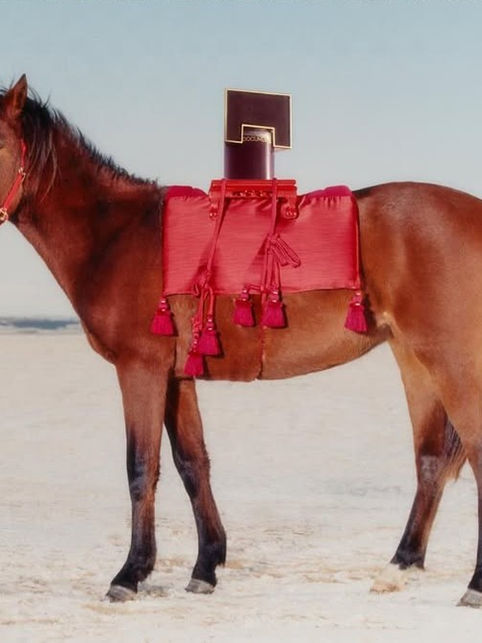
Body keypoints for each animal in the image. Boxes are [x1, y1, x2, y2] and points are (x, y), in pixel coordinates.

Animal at [0, 75, 479, 607]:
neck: (115, 235)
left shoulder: (139, 369)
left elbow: (141, 468)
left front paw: (129, 574)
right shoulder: (176, 377)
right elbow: (192, 464)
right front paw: (205, 567)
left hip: (453, 360)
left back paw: (472, 585)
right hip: (415, 360)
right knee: (430, 459)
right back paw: (399, 566)